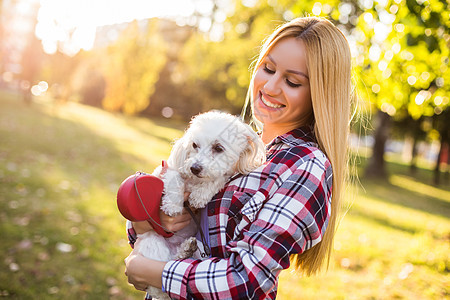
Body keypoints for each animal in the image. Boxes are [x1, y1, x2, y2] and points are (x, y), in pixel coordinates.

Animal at [135, 110, 266, 300]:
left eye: (218, 148)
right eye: (194, 145)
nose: (194, 168)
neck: (196, 181)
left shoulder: (222, 176)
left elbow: (218, 179)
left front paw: (200, 195)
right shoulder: (168, 170)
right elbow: (175, 179)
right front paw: (172, 205)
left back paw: (186, 250)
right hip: (152, 242)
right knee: (161, 274)